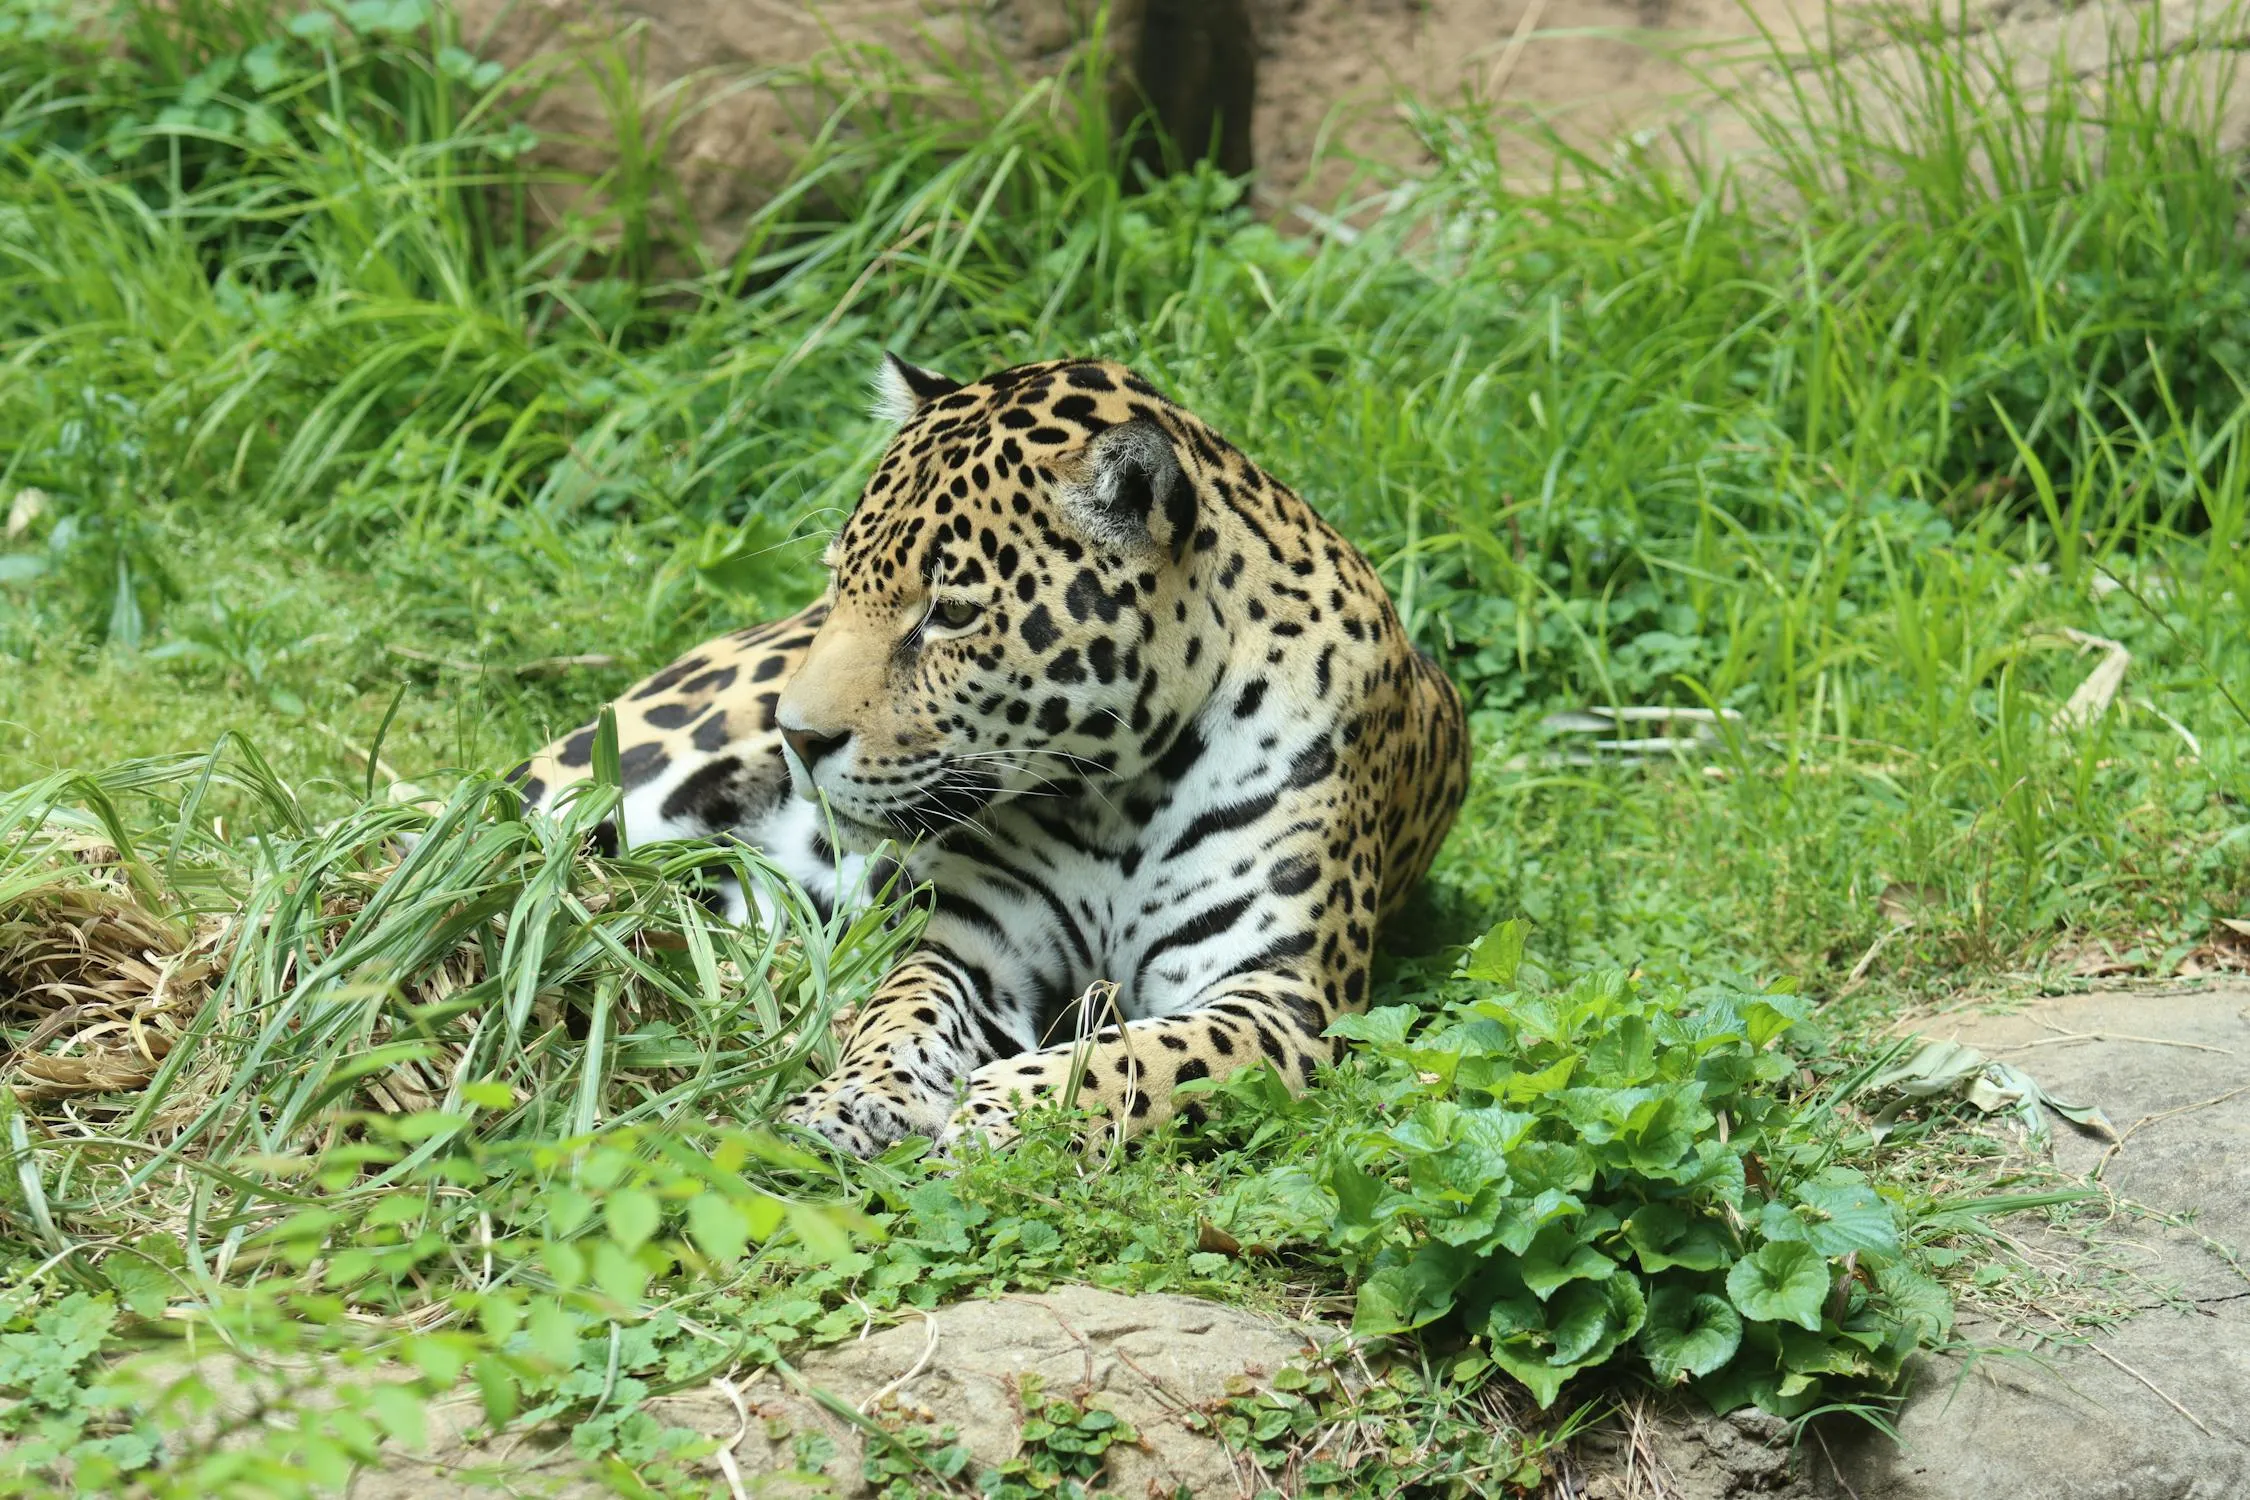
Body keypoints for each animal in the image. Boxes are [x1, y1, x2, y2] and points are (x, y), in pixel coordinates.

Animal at [506, 353, 1471, 1157]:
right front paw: (852, 1097)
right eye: (839, 582)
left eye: (952, 613)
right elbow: (901, 1012)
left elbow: (1144, 1056)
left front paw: (1009, 1108)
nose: (798, 735)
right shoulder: (972, 940)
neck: (1117, 793)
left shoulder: (1284, 996)